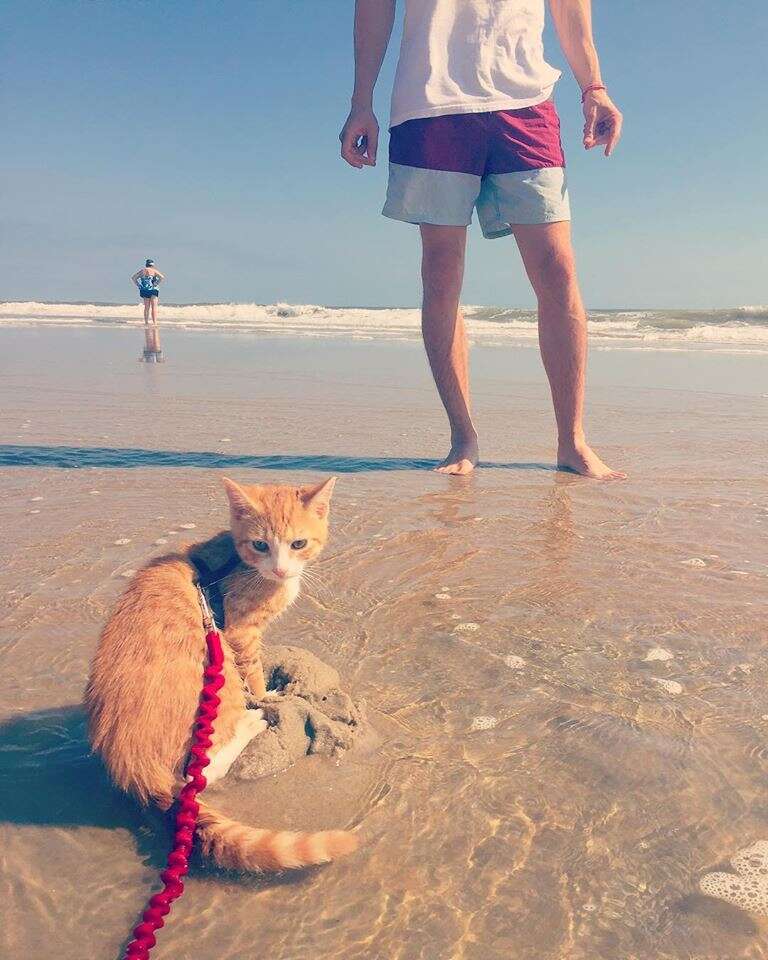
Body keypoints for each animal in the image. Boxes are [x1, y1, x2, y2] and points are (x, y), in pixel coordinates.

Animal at [85, 476, 356, 872]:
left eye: (298, 544)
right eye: (260, 545)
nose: (280, 569)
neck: (238, 564)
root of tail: (130, 764)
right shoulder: (240, 632)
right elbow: (253, 672)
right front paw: (265, 694)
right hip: (220, 679)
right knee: (197, 775)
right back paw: (250, 723)